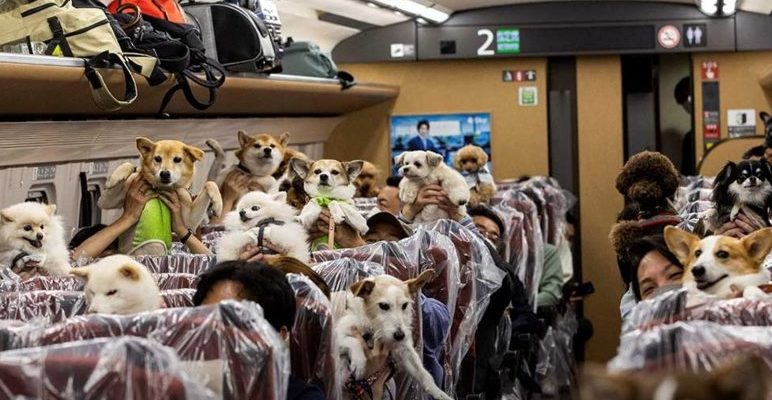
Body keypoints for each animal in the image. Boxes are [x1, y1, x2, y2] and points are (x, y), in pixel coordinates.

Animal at [332, 268, 452, 400]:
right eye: (383, 306)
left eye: (405, 305)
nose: (400, 335)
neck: (374, 325)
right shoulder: (336, 334)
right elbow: (354, 341)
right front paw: (359, 363)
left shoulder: (404, 349)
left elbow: (423, 373)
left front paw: (438, 392)